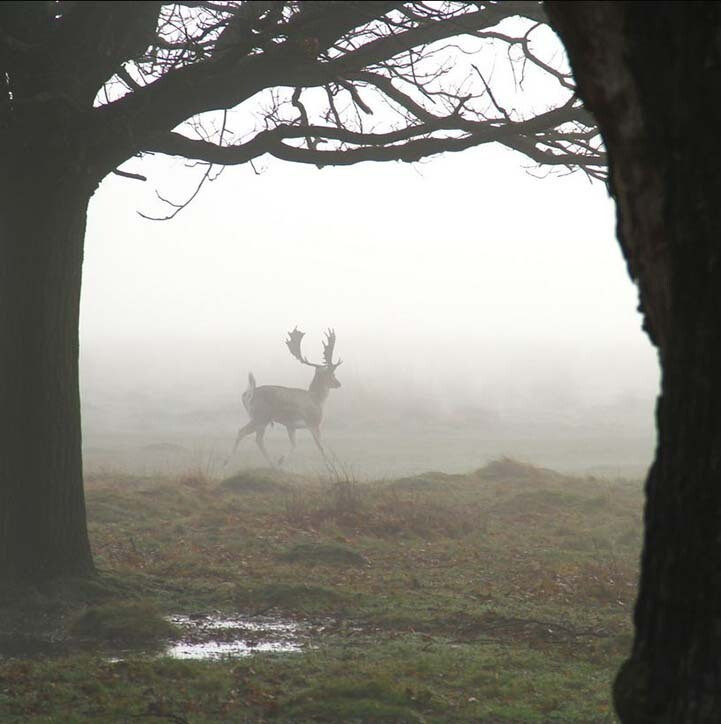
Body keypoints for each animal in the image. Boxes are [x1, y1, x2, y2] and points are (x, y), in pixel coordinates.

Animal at [225, 330, 344, 470]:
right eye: (332, 374)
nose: (338, 383)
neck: (317, 399)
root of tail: (249, 393)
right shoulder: (313, 422)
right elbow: (320, 446)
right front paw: (331, 468)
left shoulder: (291, 425)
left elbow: (294, 444)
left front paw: (280, 460)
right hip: (260, 417)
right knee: (243, 432)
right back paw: (227, 462)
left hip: (260, 419)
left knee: (257, 439)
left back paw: (272, 464)